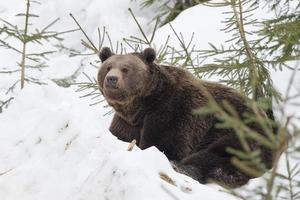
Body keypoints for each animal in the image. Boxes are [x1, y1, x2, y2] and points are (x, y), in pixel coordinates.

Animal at [97, 47, 276, 188]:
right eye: (108, 67)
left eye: (125, 68)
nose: (111, 79)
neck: (142, 105)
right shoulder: (127, 122)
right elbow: (120, 135)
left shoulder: (171, 111)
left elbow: (164, 145)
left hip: (239, 130)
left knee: (220, 153)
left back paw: (183, 168)